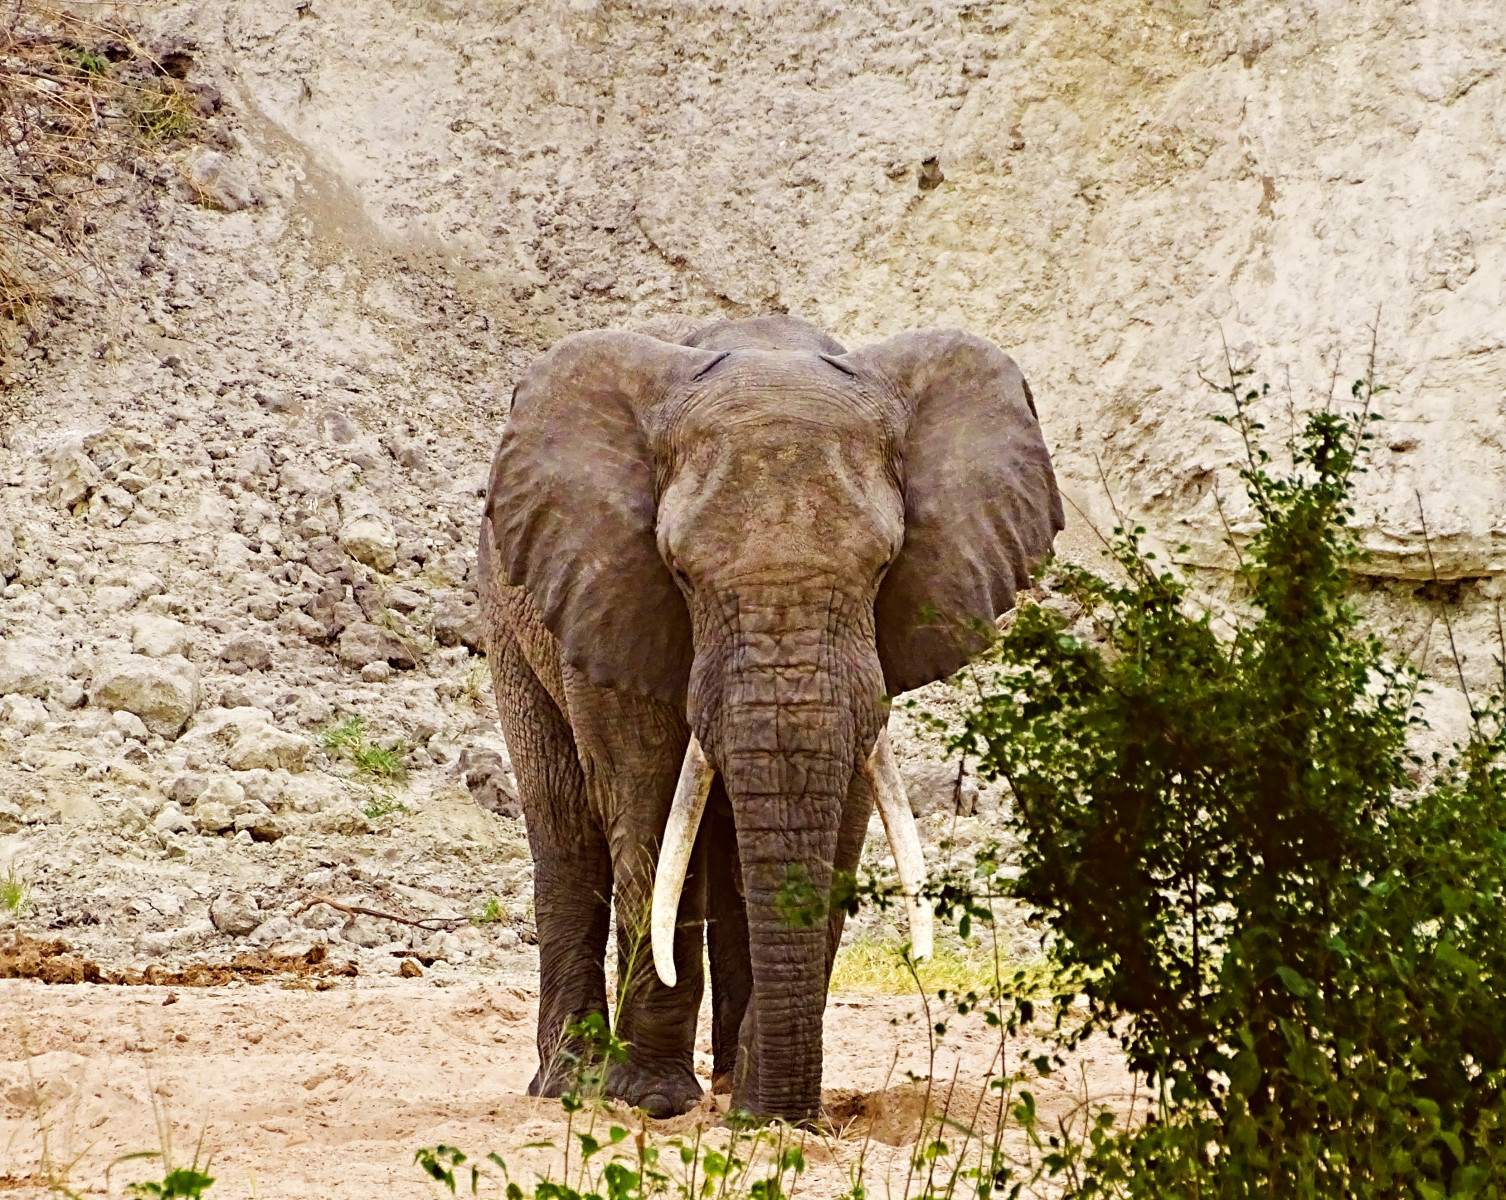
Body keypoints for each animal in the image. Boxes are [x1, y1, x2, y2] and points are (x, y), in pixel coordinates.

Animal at [478, 311, 1060, 1126]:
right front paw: (652, 1100)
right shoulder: (613, 595)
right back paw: (572, 1084)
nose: (781, 1112)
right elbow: (650, 808)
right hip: (510, 617)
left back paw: (722, 1082)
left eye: (885, 566)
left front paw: (766, 1114)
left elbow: (843, 817)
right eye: (679, 571)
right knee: (567, 830)